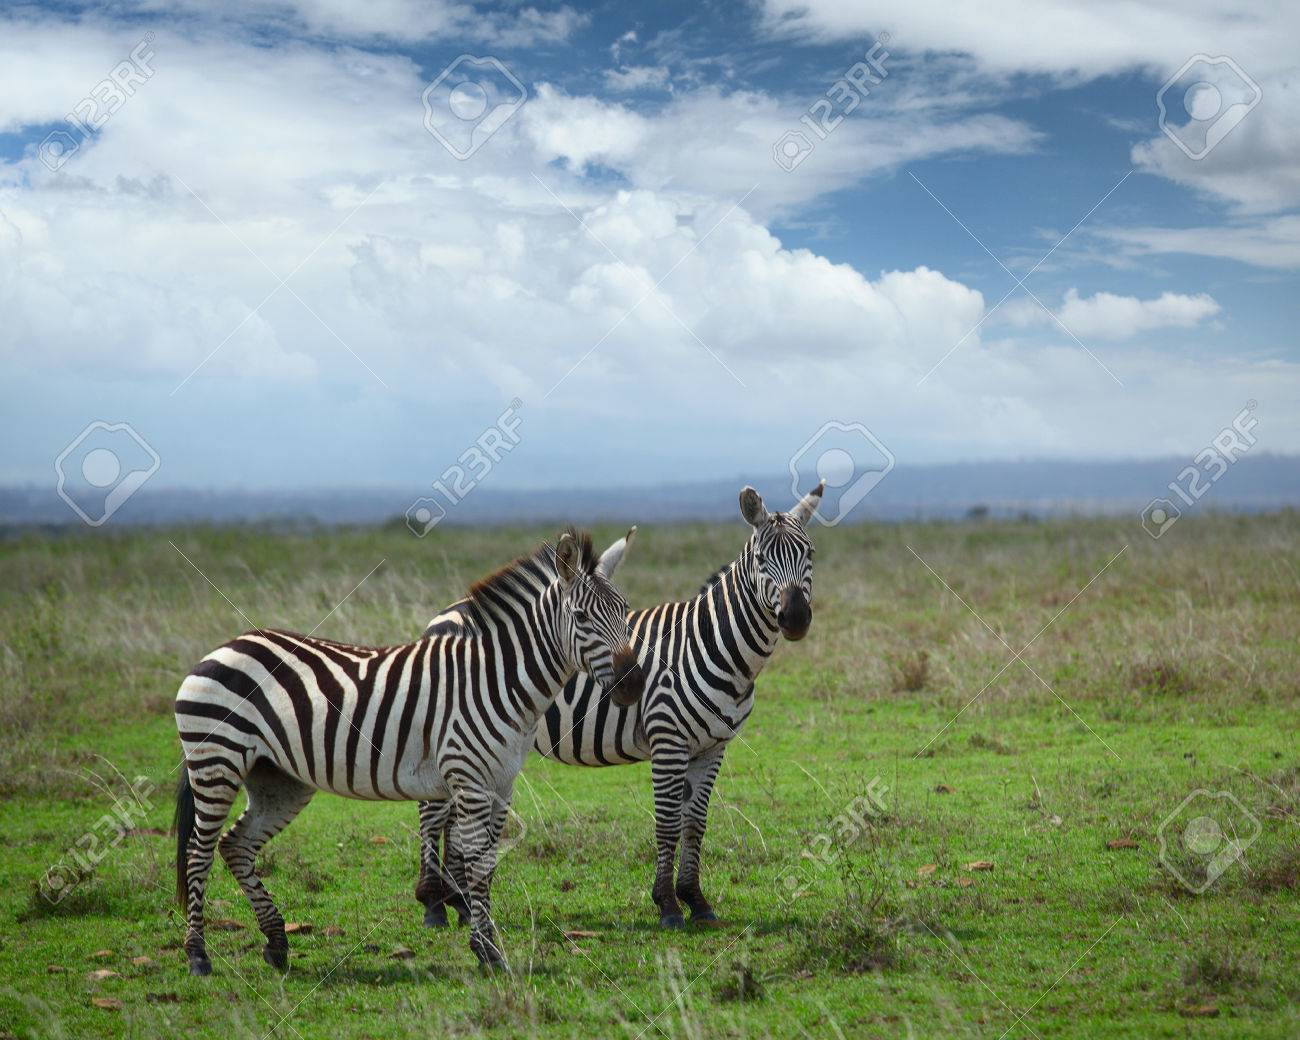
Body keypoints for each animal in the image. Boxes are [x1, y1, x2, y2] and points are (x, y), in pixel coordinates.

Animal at [171, 527, 639, 977]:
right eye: (581, 617)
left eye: (624, 611)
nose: (632, 683)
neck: (498, 680)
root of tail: (225, 645)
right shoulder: (469, 779)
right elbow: (476, 866)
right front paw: (487, 951)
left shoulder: (502, 784)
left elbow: (488, 864)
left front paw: (486, 946)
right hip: (217, 760)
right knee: (198, 852)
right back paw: (198, 956)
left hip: (278, 780)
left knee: (236, 846)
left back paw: (276, 943)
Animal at [416, 483, 821, 930]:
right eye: (763, 559)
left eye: (809, 554)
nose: (796, 617)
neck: (714, 646)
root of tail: (445, 612)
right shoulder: (668, 740)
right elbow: (668, 823)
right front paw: (668, 905)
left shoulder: (713, 748)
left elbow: (695, 824)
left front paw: (697, 901)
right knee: (432, 814)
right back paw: (434, 904)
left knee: (453, 815)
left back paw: (459, 901)